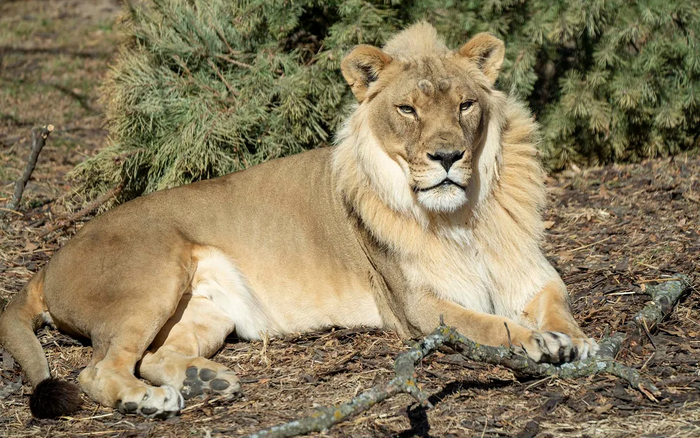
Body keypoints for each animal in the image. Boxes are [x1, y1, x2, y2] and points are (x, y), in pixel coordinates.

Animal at [0, 22, 597, 419]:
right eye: (407, 110)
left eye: (466, 105)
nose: (447, 156)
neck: (463, 216)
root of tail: (47, 263)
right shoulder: (421, 308)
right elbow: (491, 324)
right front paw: (540, 342)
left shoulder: (530, 273)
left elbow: (558, 303)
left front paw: (580, 341)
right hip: (154, 273)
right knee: (97, 370)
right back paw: (150, 400)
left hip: (206, 313)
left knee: (153, 354)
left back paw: (205, 380)